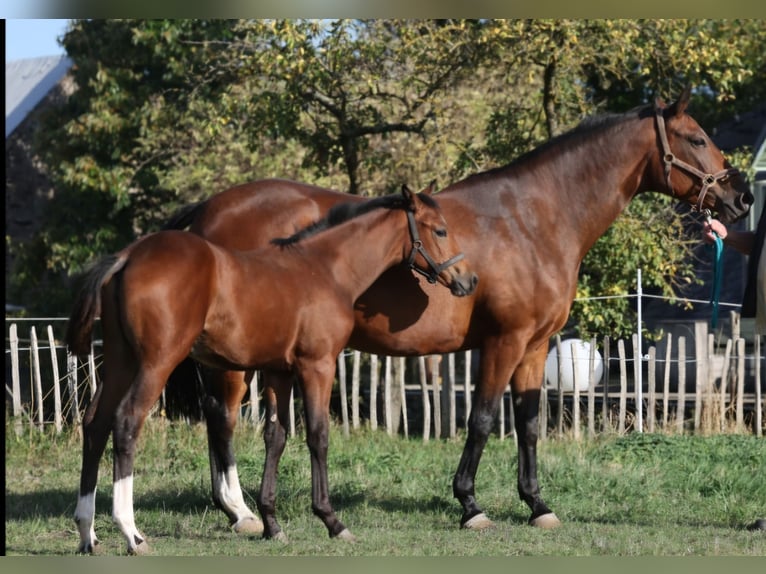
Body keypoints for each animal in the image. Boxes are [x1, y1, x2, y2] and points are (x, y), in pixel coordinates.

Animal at [65, 184, 478, 554]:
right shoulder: (317, 365)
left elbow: (275, 437)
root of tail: (127, 256)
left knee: (95, 424)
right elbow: (318, 435)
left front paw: (272, 524)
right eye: (440, 229)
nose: (468, 279)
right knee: (126, 422)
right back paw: (132, 533)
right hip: (157, 363)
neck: (325, 269)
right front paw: (332, 520)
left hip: (121, 362)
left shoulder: (279, 371)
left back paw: (88, 533)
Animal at [163, 88, 753, 536]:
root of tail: (208, 209)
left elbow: (529, 422)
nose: (741, 198)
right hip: (238, 358)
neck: (534, 218)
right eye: (697, 139)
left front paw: (537, 505)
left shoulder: (535, 346)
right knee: (223, 417)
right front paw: (470, 505)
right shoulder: (505, 341)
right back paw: (241, 513)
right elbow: (484, 418)